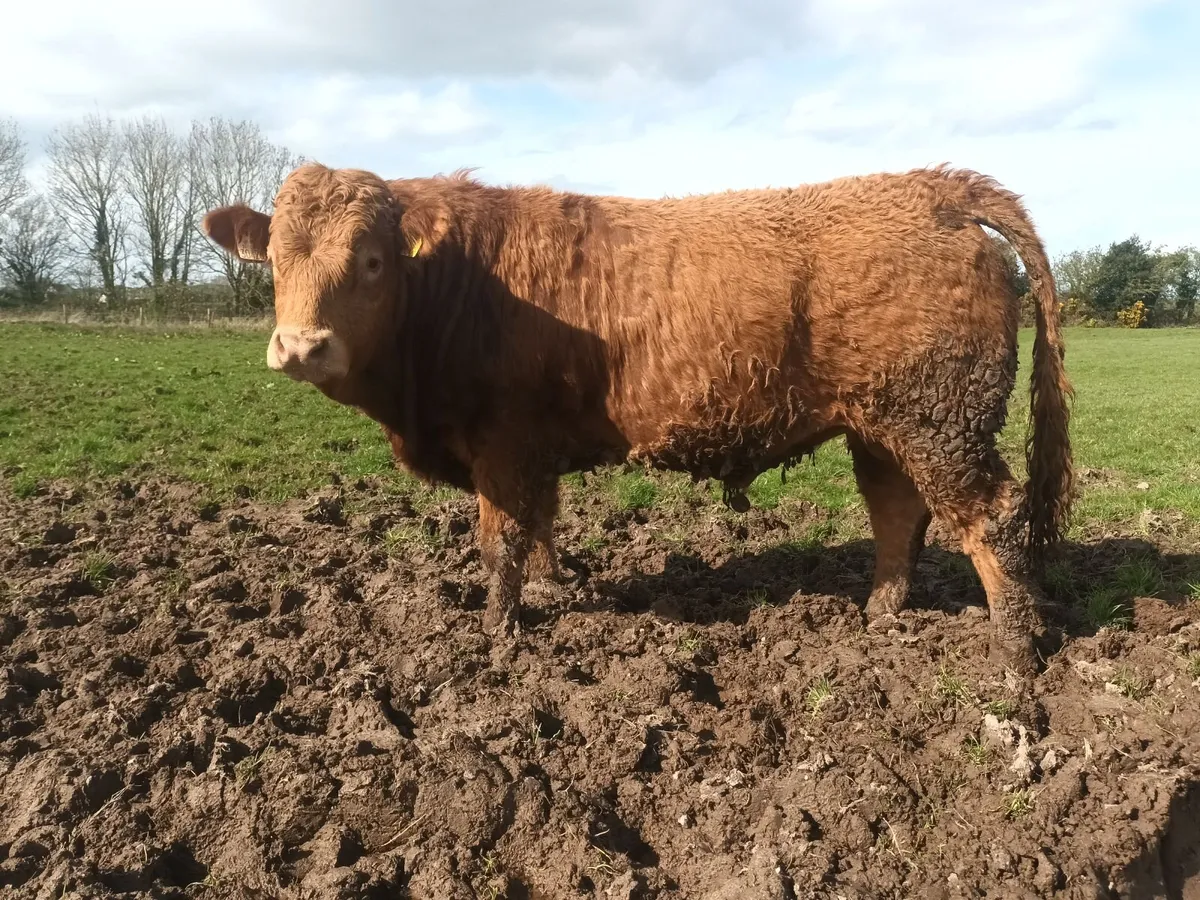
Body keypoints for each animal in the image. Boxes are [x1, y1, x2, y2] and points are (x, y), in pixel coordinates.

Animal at [201, 162, 1073, 675]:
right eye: (274, 259)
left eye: (373, 261)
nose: (300, 345)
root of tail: (934, 186)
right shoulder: (531, 448)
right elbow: (541, 526)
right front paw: (557, 586)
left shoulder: (502, 445)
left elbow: (499, 543)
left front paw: (499, 635)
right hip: (884, 424)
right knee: (898, 513)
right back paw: (880, 616)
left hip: (939, 420)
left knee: (990, 517)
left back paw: (1014, 655)